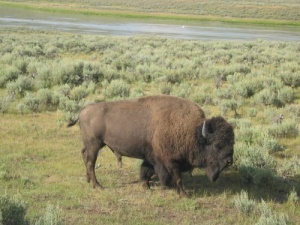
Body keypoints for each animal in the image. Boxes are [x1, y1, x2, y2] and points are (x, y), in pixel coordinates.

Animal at [68, 95, 234, 197]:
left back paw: (89, 180)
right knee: (91, 162)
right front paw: (183, 194)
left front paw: (145, 186)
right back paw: (98, 185)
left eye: (232, 142)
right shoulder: (169, 161)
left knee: (84, 156)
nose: (229, 161)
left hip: (91, 145)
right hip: (94, 145)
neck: (192, 131)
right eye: (218, 145)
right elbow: (177, 177)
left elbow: (146, 171)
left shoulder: (152, 157)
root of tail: (83, 111)